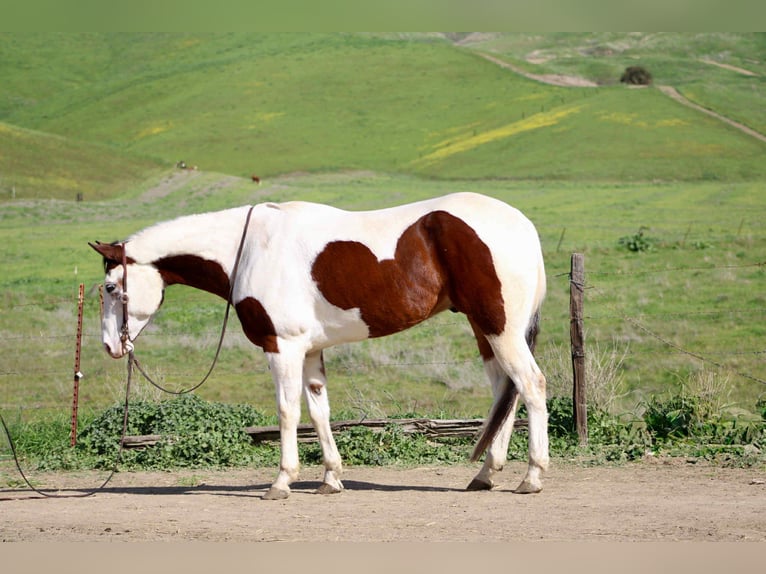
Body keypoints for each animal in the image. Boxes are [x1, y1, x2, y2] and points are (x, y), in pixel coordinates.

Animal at [89, 192, 549, 500]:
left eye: (110, 288)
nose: (111, 346)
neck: (250, 249)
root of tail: (523, 225)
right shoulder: (309, 351)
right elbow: (318, 411)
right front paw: (331, 478)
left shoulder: (282, 347)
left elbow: (287, 412)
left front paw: (281, 482)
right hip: (485, 330)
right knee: (504, 391)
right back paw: (486, 475)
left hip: (501, 329)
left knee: (531, 386)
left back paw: (531, 477)